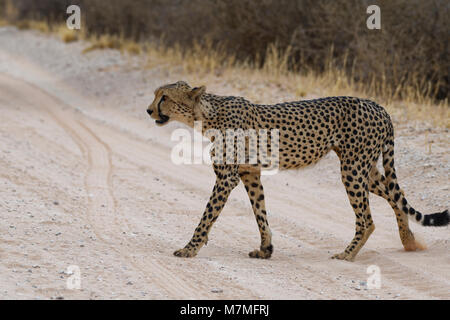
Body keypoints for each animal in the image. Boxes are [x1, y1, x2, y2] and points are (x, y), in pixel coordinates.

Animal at [147, 81, 446, 262]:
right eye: (155, 95)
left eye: (164, 97)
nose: (149, 110)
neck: (206, 114)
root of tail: (378, 106)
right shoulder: (249, 174)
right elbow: (260, 213)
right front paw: (266, 249)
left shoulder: (226, 177)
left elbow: (207, 215)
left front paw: (189, 248)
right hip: (365, 169)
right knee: (396, 195)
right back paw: (408, 239)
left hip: (352, 169)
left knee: (368, 219)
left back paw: (348, 254)